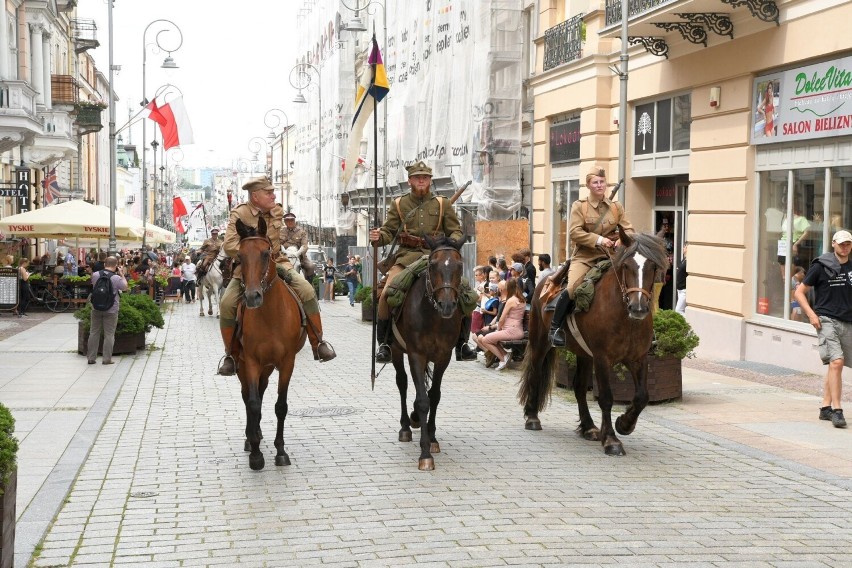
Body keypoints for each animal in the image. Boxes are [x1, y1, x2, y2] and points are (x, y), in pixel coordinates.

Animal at [235, 217, 308, 470]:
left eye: (266, 253)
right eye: (239, 256)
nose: (252, 296)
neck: (270, 316)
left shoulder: (287, 362)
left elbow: (280, 406)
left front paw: (280, 451)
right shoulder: (251, 361)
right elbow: (253, 403)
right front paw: (256, 455)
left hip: (267, 367)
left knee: (262, 390)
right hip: (243, 364)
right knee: (248, 396)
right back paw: (250, 438)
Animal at [392, 234, 466, 470]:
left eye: (460, 266)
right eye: (433, 265)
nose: (447, 305)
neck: (434, 317)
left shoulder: (443, 357)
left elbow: (433, 396)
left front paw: (432, 440)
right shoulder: (416, 355)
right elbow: (423, 400)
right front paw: (424, 454)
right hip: (396, 350)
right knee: (402, 383)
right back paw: (406, 427)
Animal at [516, 229, 668, 454]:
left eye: (653, 266)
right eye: (626, 266)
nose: (638, 308)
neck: (625, 317)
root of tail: (545, 281)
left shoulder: (638, 358)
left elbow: (642, 396)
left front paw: (624, 424)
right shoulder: (602, 359)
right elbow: (606, 397)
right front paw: (611, 440)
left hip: (584, 354)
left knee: (579, 387)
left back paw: (589, 427)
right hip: (540, 341)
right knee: (535, 372)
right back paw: (532, 417)